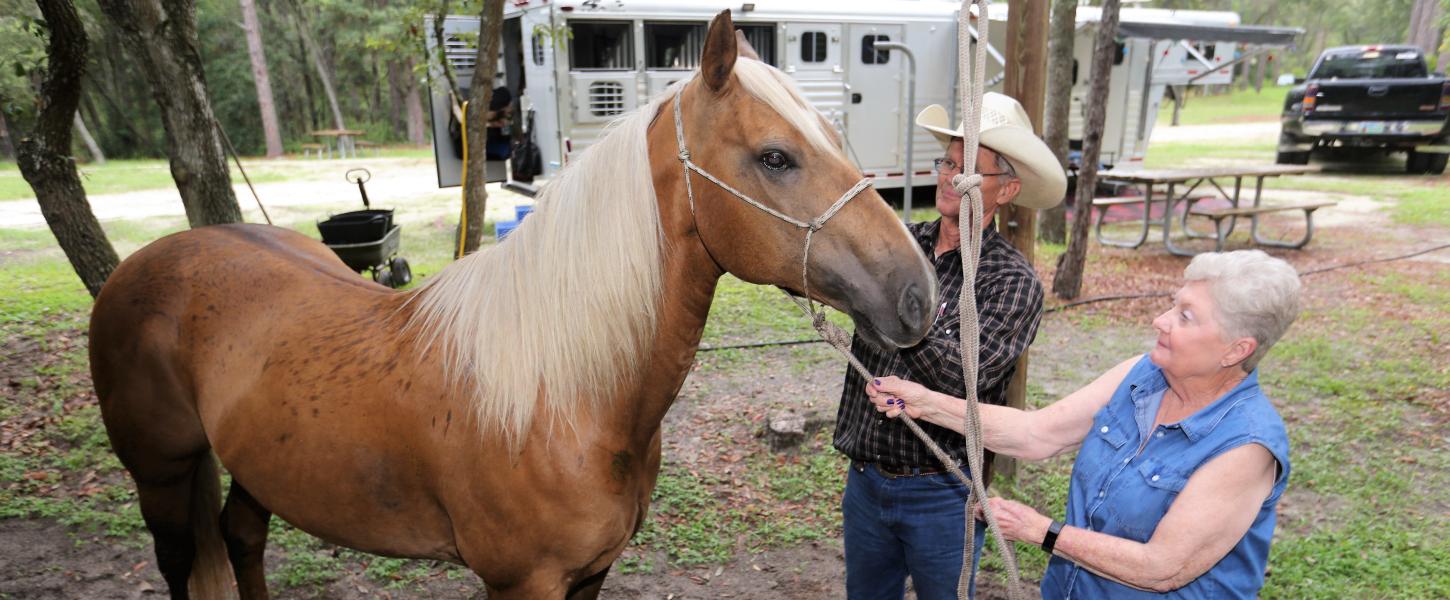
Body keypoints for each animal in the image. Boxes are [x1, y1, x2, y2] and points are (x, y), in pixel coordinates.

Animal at [90, 10, 933, 600]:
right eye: (775, 157)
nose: (918, 294)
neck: (563, 397)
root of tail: (149, 263)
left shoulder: (591, 573)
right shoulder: (520, 582)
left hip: (255, 469)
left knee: (240, 538)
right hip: (161, 477)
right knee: (183, 557)